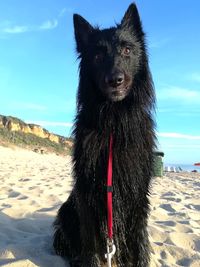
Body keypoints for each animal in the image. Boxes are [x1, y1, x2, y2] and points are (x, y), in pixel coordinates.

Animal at [52, 2, 155, 267]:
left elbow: (139, 245)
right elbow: (91, 245)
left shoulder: (137, 196)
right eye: (97, 57)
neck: (113, 123)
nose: (115, 80)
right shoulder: (87, 194)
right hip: (67, 210)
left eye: (127, 50)